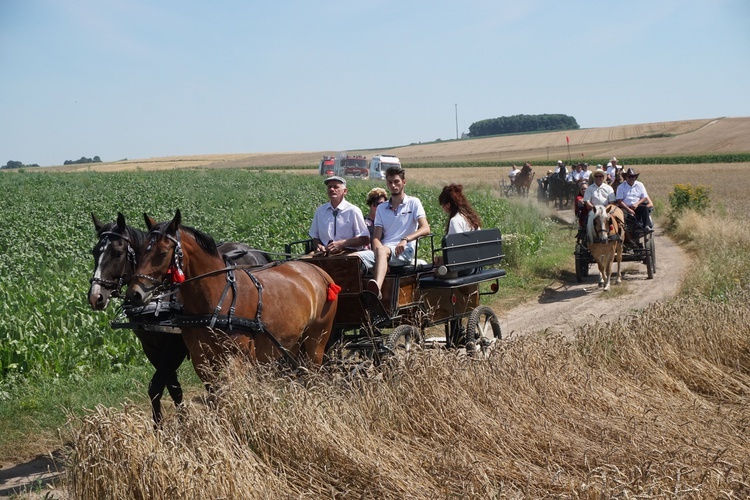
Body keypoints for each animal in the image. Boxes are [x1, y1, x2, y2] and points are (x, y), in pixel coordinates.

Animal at [89, 213, 270, 424]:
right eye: (95, 252)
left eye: (117, 252)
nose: (95, 297)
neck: (160, 297)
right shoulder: (151, 348)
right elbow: (168, 386)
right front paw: (167, 424)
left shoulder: (175, 347)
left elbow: (160, 385)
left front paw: (175, 423)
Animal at [125, 210, 338, 386]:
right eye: (140, 251)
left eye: (162, 253)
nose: (135, 293)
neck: (215, 298)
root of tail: (318, 270)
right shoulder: (201, 359)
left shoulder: (237, 359)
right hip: (292, 343)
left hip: (317, 341)